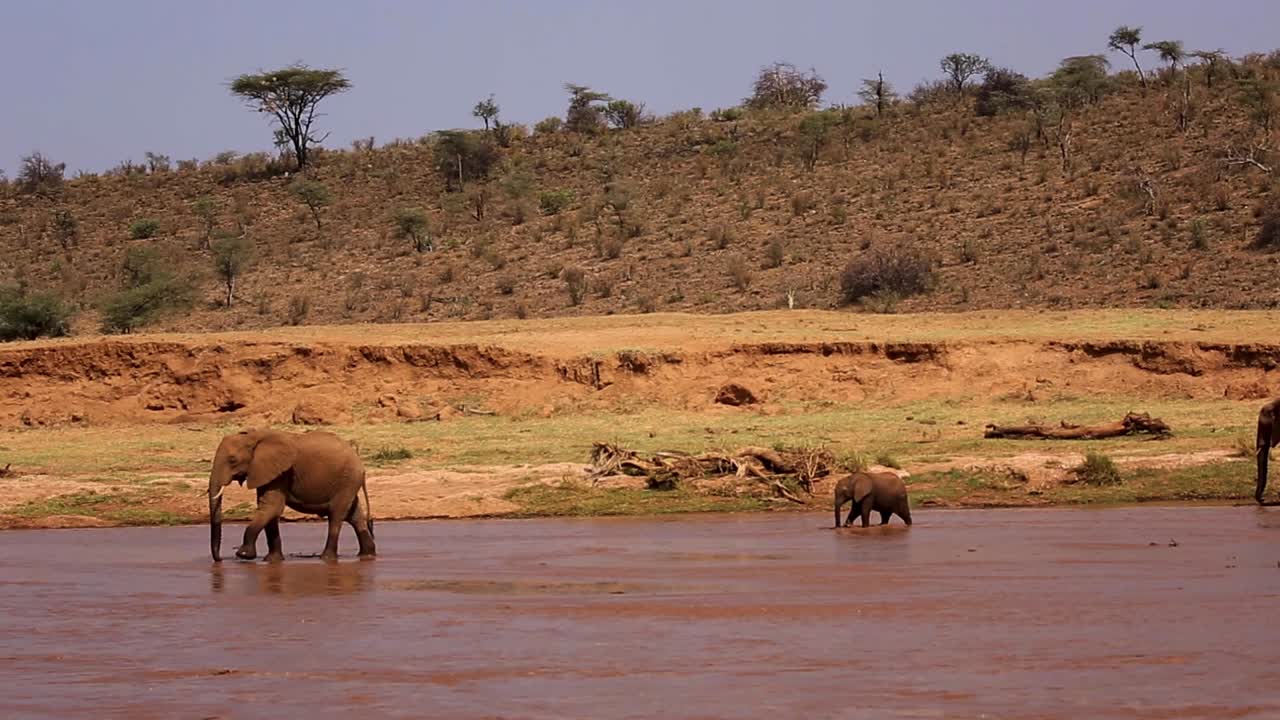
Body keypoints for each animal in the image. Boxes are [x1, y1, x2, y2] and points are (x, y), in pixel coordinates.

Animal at [208, 428, 375, 562]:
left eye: (232, 460)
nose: (220, 559)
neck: (255, 436)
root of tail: (356, 454)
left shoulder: (280, 471)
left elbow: (271, 507)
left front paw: (243, 555)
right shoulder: (266, 472)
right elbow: (268, 509)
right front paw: (272, 560)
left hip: (348, 479)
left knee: (336, 514)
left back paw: (326, 558)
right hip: (349, 481)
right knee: (354, 515)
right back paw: (367, 555)